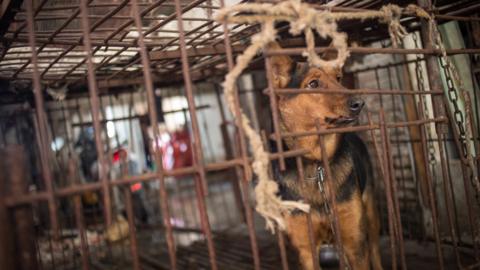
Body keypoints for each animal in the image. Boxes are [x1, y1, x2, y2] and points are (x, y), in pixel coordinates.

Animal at [266, 43, 382, 268]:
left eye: (338, 78)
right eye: (313, 83)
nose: (359, 103)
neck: (316, 164)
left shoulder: (355, 244)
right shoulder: (306, 251)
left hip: (371, 215)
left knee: (375, 251)